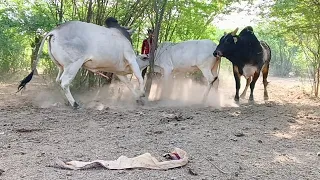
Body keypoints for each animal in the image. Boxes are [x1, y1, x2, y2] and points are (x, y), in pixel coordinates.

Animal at [18, 21, 150, 108]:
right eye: (144, 57)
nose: (149, 58)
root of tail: (55, 31)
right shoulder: (130, 57)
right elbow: (139, 77)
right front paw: (142, 93)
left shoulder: (119, 73)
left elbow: (129, 85)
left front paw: (138, 98)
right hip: (74, 65)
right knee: (64, 82)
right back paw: (74, 104)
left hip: (61, 67)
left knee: (58, 81)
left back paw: (67, 101)